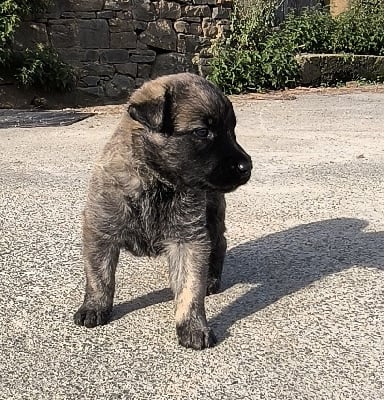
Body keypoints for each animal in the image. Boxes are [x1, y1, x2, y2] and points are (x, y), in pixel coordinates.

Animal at [73, 73, 252, 348]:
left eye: (231, 130)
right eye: (202, 132)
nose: (247, 166)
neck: (155, 182)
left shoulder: (188, 239)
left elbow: (190, 287)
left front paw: (193, 326)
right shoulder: (100, 230)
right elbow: (99, 275)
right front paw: (94, 307)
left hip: (212, 216)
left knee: (219, 243)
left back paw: (211, 279)